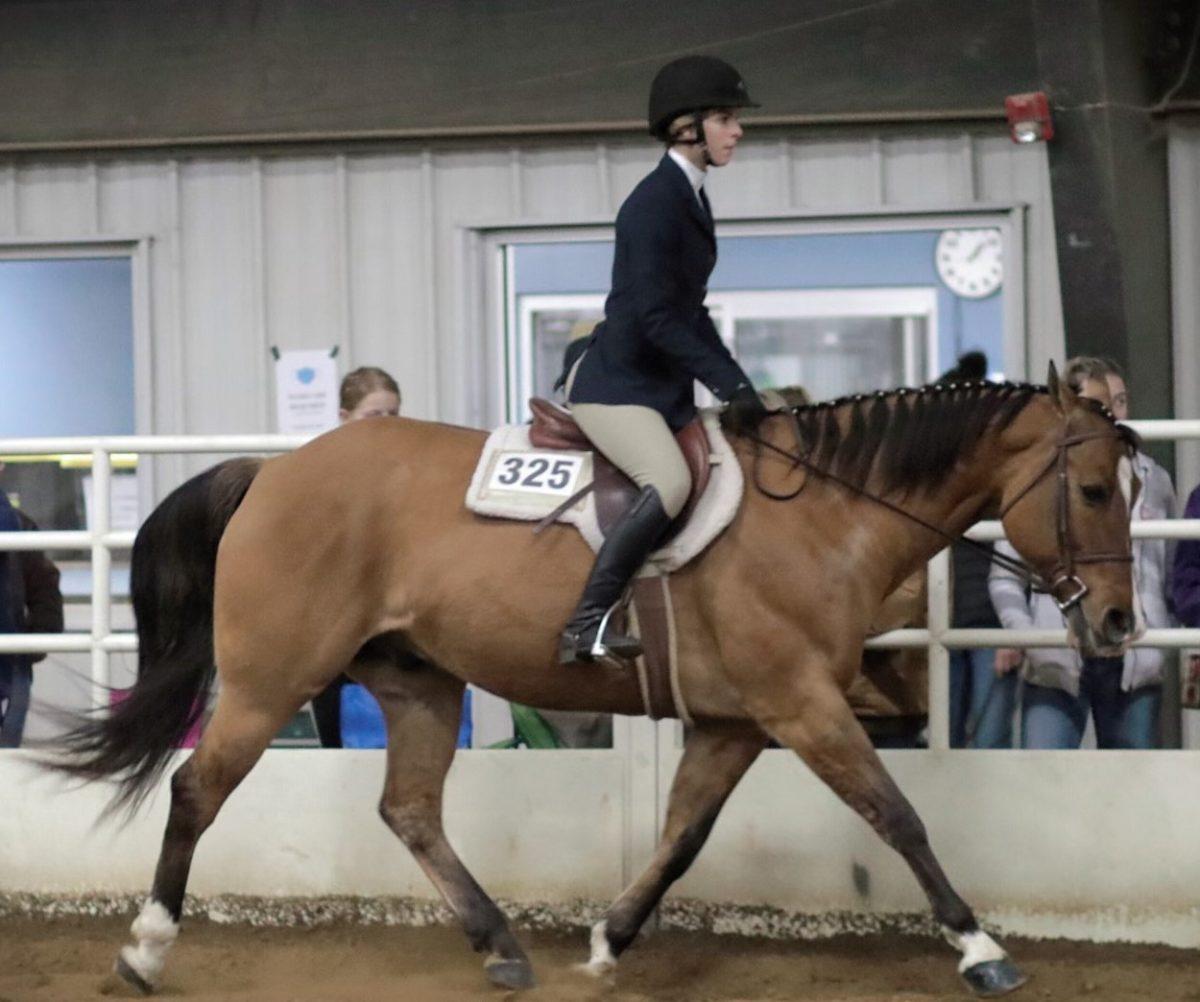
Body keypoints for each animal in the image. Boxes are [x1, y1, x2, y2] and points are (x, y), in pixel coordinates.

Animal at [56, 367, 1137, 993]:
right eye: (1091, 491)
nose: (1120, 626)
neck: (826, 514)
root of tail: (272, 472)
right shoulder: (801, 705)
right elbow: (897, 815)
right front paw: (982, 949)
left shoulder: (736, 722)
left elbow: (684, 835)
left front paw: (612, 939)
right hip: (273, 678)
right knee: (198, 789)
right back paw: (144, 949)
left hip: (418, 681)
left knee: (409, 810)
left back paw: (498, 944)